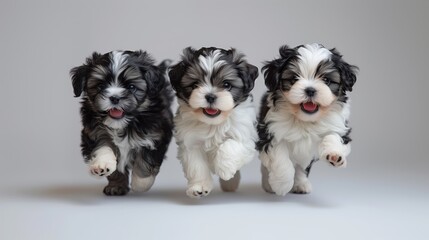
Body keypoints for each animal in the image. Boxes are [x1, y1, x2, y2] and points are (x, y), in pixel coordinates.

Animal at [70, 50, 172, 195]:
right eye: (100, 86)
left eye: (131, 86)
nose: (115, 98)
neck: (122, 125)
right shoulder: (94, 132)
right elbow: (102, 147)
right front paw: (105, 170)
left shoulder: (155, 136)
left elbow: (146, 160)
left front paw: (141, 183)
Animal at [169, 47, 260, 199]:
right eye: (195, 84)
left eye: (226, 84)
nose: (210, 96)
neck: (213, 123)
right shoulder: (190, 142)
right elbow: (196, 165)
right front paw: (199, 187)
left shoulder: (245, 136)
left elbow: (230, 145)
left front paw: (224, 169)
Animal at [258, 44, 358, 196]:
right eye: (294, 79)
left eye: (326, 80)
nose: (310, 90)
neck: (305, 119)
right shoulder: (271, 132)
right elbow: (281, 159)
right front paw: (281, 184)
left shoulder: (338, 125)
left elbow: (333, 136)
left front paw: (334, 154)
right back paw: (268, 184)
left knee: (301, 167)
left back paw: (301, 184)